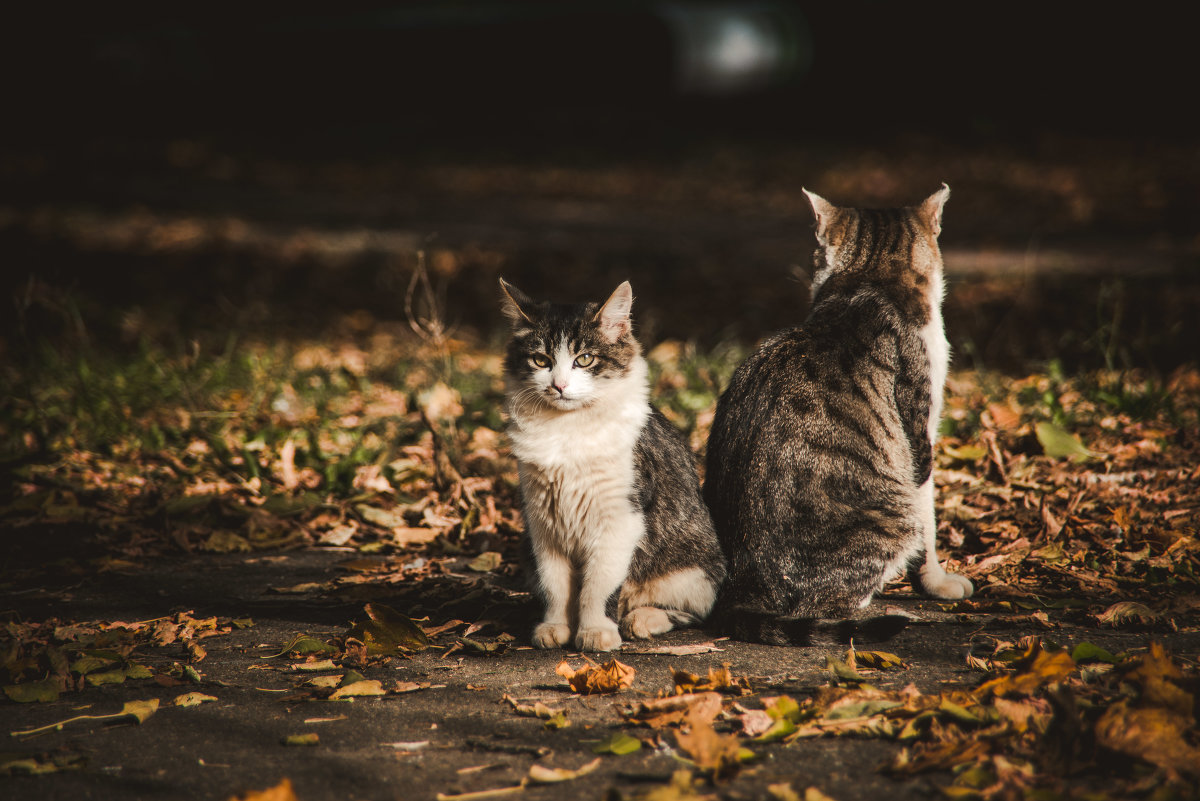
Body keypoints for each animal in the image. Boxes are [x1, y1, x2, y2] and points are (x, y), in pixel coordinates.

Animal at [496, 275, 720, 652]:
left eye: (584, 359)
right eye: (541, 360)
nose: (559, 386)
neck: (566, 430)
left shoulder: (619, 521)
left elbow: (598, 588)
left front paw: (595, 631)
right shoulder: (543, 523)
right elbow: (556, 587)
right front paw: (555, 627)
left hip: (693, 569)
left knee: (690, 611)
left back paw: (641, 619)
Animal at [700, 183, 974, 642]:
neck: (869, 280)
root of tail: (746, 580)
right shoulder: (921, 437)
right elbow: (930, 522)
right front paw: (935, 582)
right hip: (891, 515)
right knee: (825, 606)